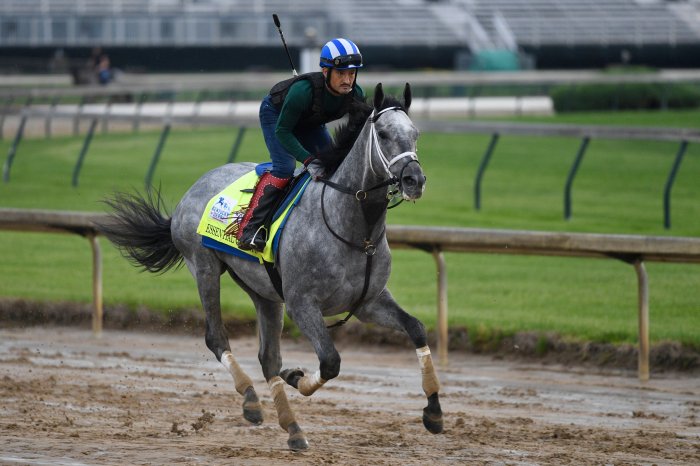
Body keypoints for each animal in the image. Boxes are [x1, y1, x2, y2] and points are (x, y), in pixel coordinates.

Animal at [98, 84, 442, 452]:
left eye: (415, 133)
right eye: (384, 133)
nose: (415, 179)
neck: (352, 229)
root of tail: (193, 189)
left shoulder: (368, 302)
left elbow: (416, 328)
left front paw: (434, 411)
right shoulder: (302, 304)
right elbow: (330, 361)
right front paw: (297, 377)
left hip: (263, 292)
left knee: (268, 358)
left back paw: (293, 428)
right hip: (204, 268)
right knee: (217, 338)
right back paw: (251, 400)